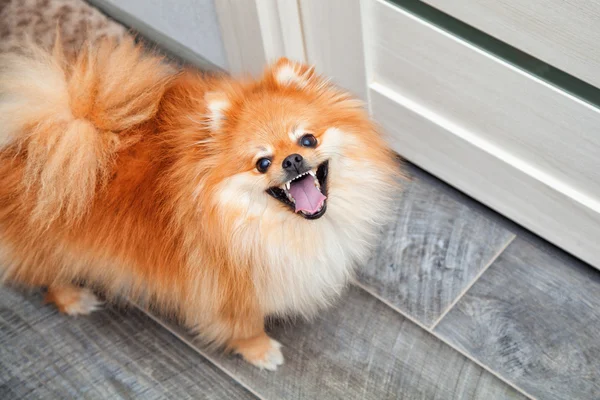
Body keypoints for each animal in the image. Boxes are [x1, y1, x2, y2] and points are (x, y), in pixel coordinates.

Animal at [2, 36, 400, 368]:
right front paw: (261, 352)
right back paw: (74, 299)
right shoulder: (227, 290)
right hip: (48, 243)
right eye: (262, 163)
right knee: (46, 274)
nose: (292, 161)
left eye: (307, 140)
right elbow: (245, 326)